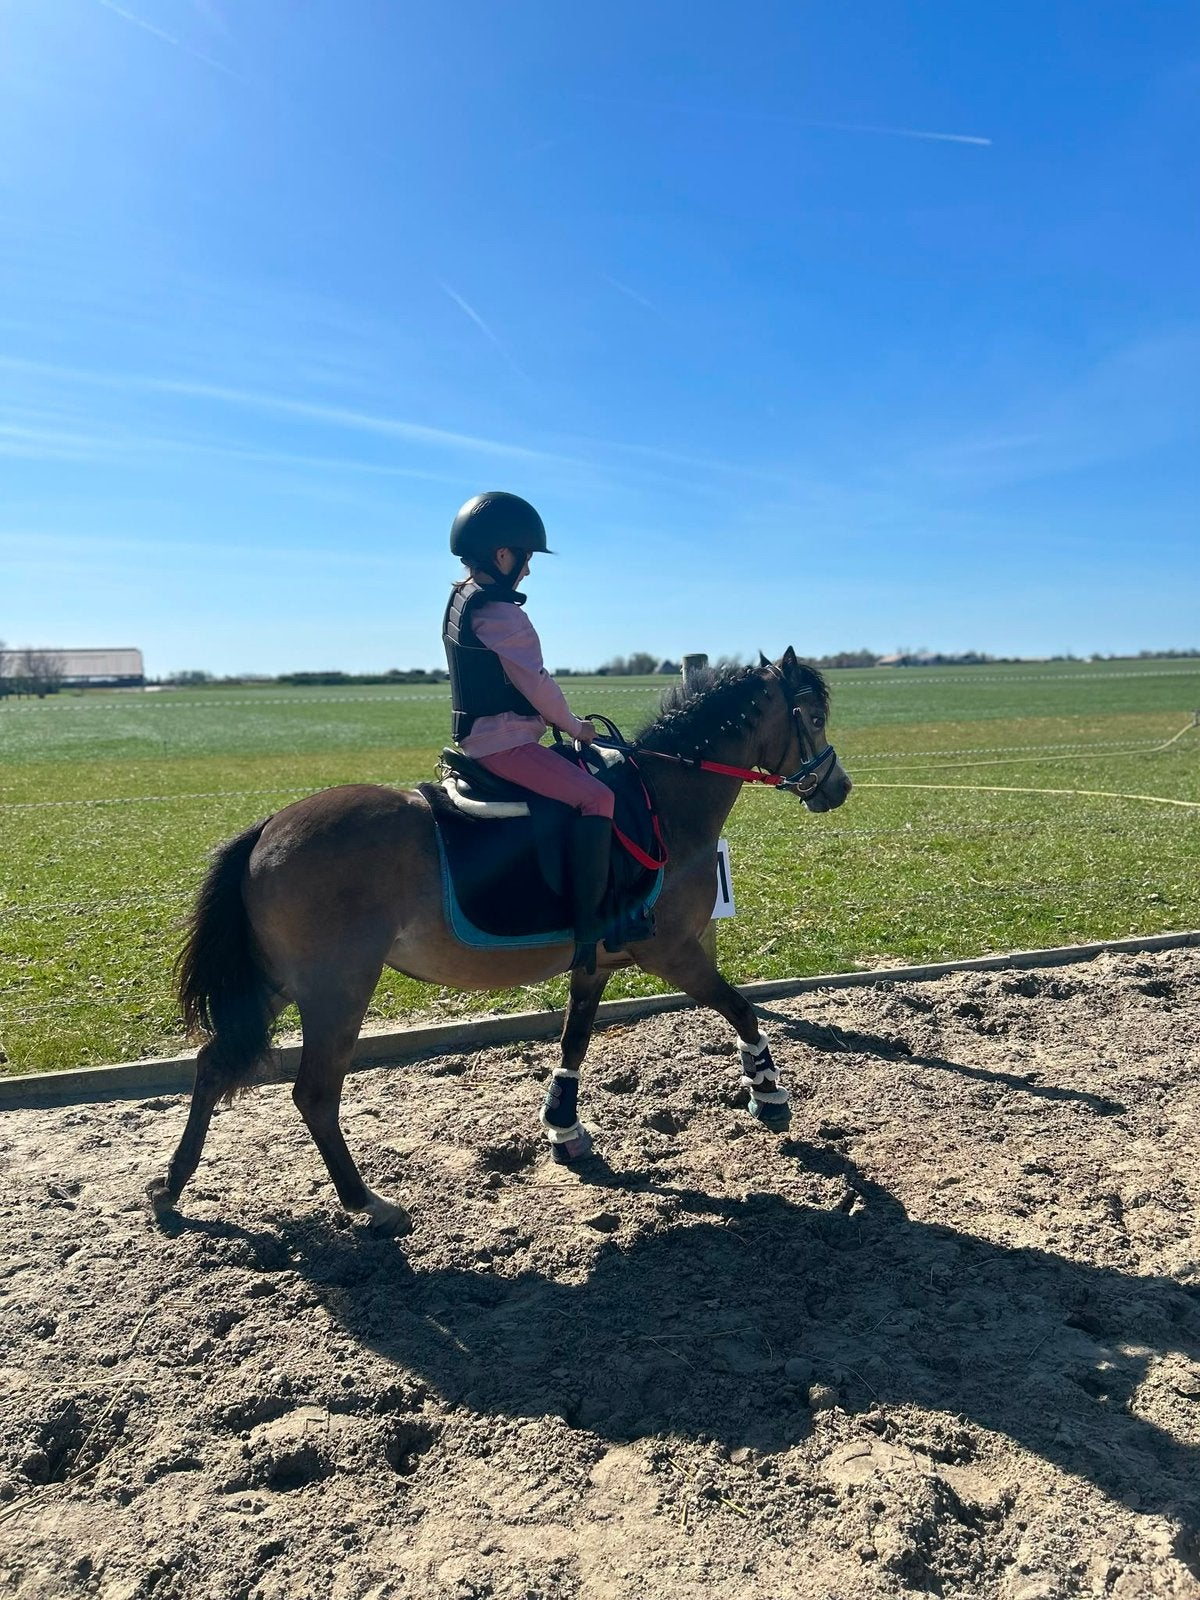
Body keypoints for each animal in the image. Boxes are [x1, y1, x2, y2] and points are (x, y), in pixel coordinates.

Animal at [148, 648, 852, 1234]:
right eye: (813, 716)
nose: (837, 786)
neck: (661, 801)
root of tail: (269, 828)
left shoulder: (596, 962)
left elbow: (574, 1039)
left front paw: (563, 1127)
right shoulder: (675, 952)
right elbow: (740, 1008)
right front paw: (768, 1093)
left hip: (277, 986)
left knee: (213, 1067)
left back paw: (172, 1189)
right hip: (336, 992)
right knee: (314, 1095)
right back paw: (367, 1203)